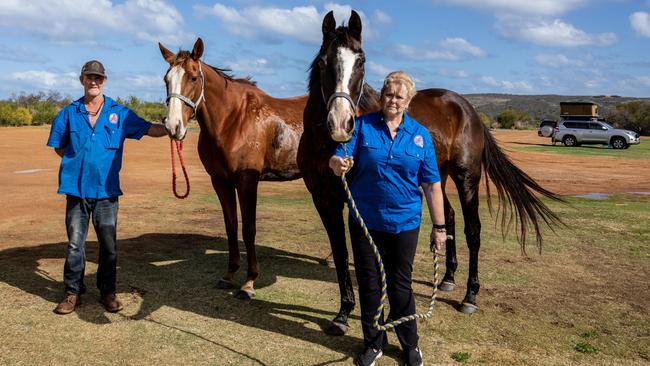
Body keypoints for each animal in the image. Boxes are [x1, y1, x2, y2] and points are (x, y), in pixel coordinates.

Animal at [158, 37, 308, 300]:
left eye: (193, 77)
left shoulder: (247, 182)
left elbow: (249, 229)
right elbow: (231, 226)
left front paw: (249, 282)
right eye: (167, 79)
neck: (233, 121)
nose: (173, 126)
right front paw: (229, 275)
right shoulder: (220, 181)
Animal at [296, 10, 560, 334]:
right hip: (437, 177)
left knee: (473, 230)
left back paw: (470, 295)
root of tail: (467, 109)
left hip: (466, 178)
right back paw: (447, 278)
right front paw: (343, 313)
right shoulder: (325, 200)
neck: (324, 142)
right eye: (323, 62)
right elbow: (341, 250)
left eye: (361, 60)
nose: (341, 124)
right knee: (448, 217)